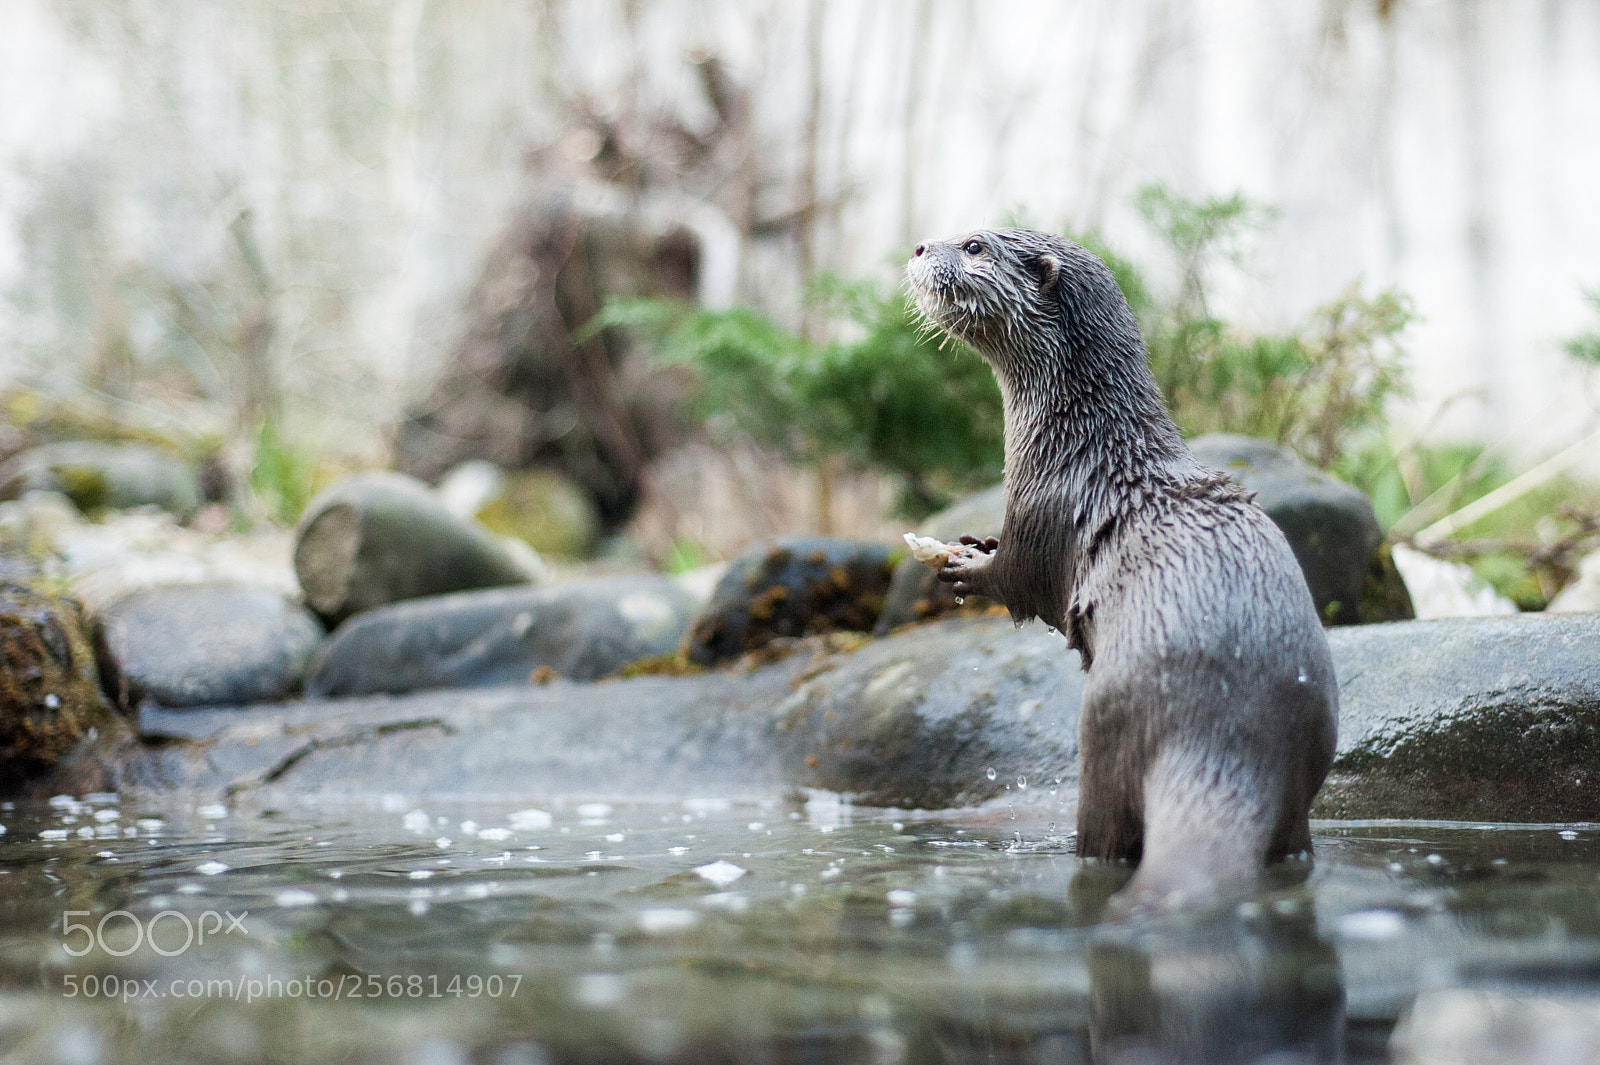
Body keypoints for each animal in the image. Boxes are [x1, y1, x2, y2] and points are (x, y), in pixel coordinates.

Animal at [906, 228, 1338, 913]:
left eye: (974, 245)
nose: (921, 248)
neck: (1078, 436)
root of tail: (1222, 738)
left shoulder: (1041, 508)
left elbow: (1021, 581)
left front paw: (966, 562)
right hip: (1308, 747)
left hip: (1105, 734)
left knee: (1105, 824)